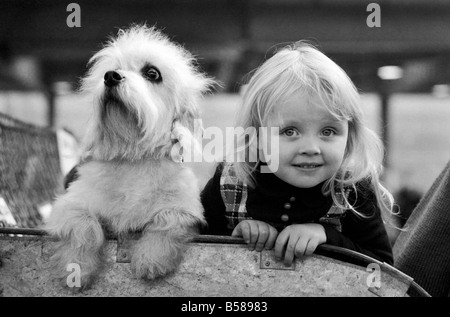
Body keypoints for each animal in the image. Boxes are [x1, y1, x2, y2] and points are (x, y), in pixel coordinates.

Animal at [44, 25, 214, 288]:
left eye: (152, 73)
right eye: (110, 69)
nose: (111, 76)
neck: (133, 155)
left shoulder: (186, 210)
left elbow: (167, 219)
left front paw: (151, 258)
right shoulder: (69, 204)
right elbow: (83, 226)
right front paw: (77, 268)